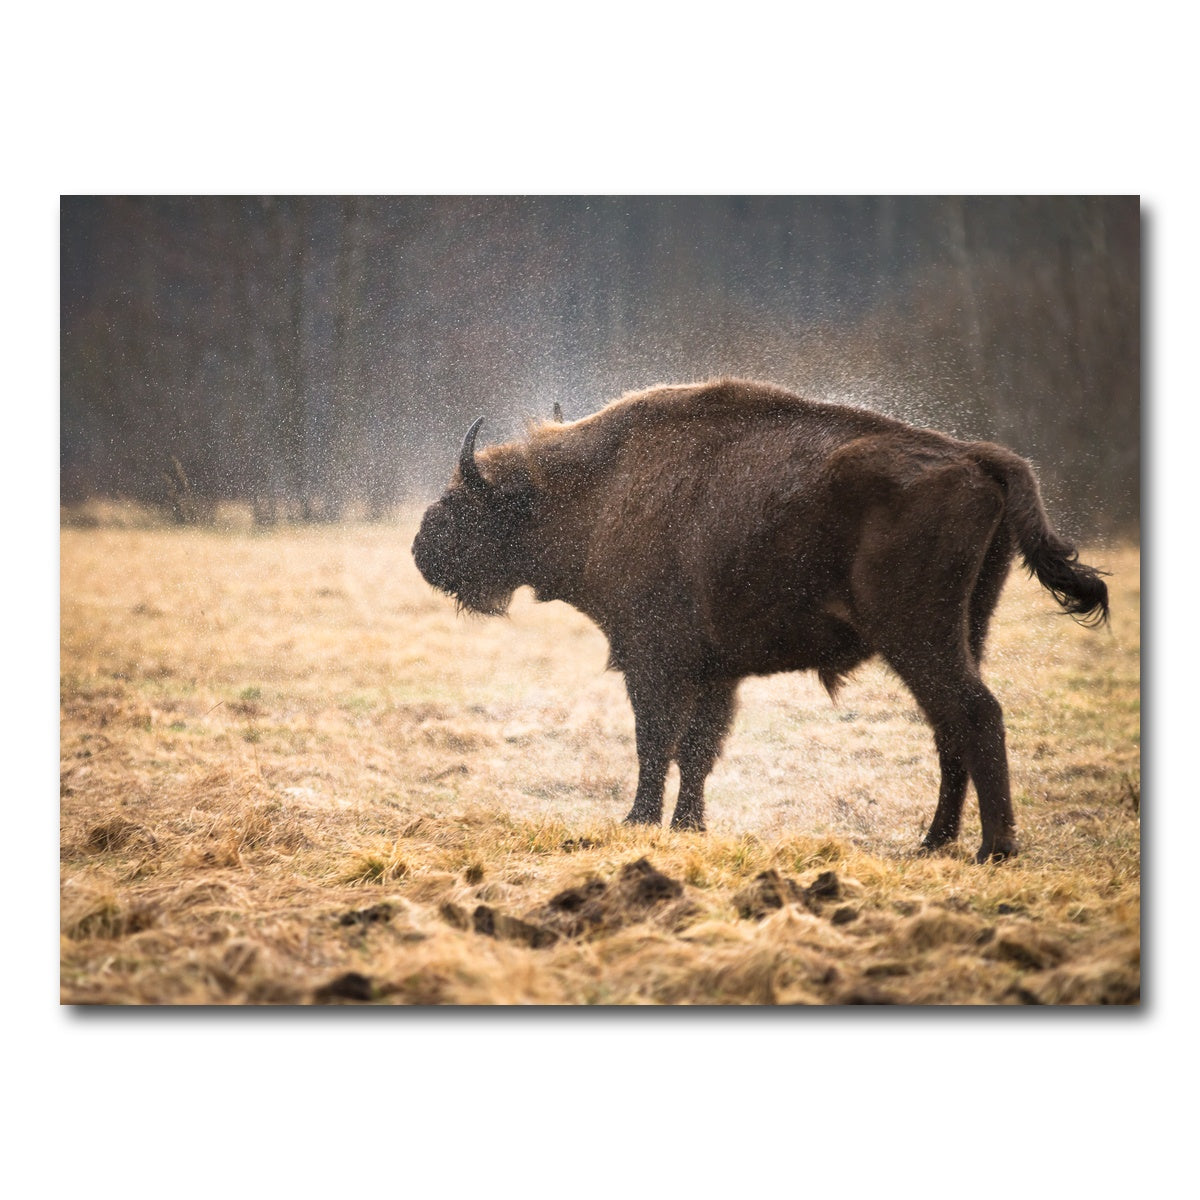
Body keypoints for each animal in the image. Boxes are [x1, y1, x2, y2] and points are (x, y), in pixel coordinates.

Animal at [412, 378, 1108, 862]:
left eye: (464, 499)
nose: (421, 547)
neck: (598, 486)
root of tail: (976, 457)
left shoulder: (654, 660)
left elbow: (656, 743)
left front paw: (638, 822)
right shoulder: (716, 672)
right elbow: (697, 750)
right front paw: (689, 826)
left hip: (917, 635)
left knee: (974, 713)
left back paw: (993, 849)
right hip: (967, 628)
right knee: (949, 727)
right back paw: (932, 843)